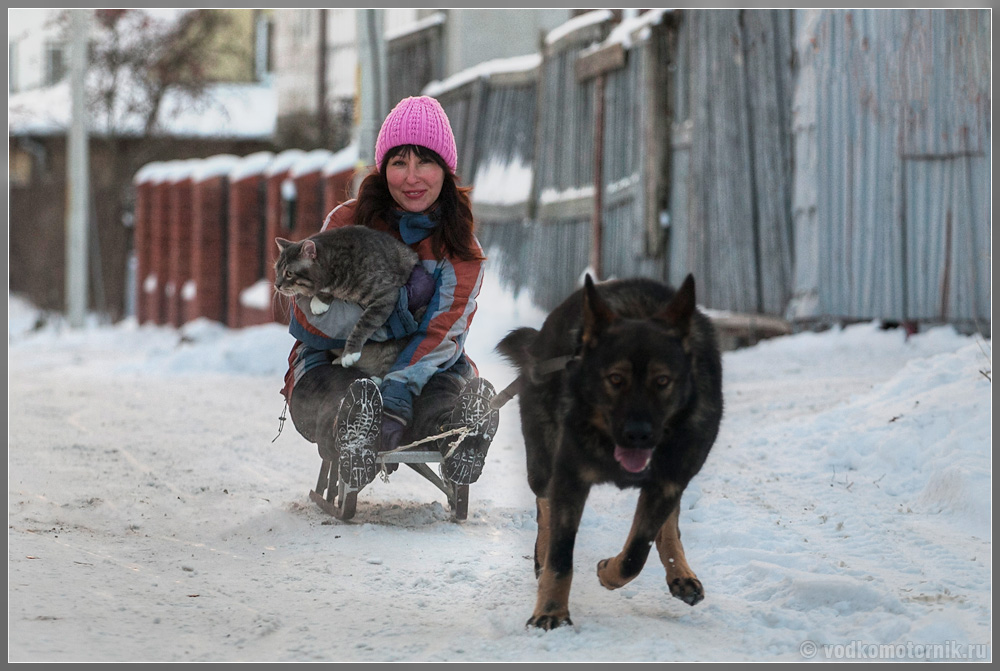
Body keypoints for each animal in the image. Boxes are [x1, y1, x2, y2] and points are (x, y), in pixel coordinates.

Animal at [272, 228, 420, 370]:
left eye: (289, 273)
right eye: (276, 271)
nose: (276, 285)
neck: (334, 261)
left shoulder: (385, 295)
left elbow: (364, 323)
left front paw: (350, 353)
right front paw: (320, 301)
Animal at [496, 274, 724, 632]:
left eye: (663, 381)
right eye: (615, 379)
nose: (638, 435)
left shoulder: (668, 481)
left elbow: (635, 554)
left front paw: (608, 572)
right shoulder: (570, 477)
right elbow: (561, 556)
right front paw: (551, 612)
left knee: (668, 523)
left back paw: (681, 574)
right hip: (542, 462)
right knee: (543, 503)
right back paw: (541, 557)